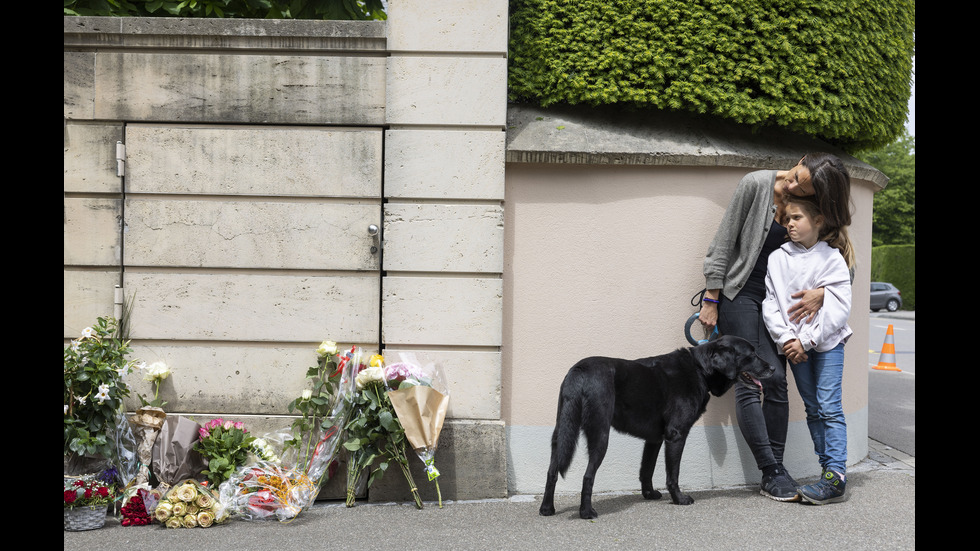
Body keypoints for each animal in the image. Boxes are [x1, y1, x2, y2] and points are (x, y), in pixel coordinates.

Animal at [536, 334, 772, 520]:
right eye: (751, 355)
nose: (772, 367)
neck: (700, 369)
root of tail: (579, 370)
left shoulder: (654, 439)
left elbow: (646, 469)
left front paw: (649, 494)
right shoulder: (676, 435)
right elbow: (673, 474)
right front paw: (679, 499)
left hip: (561, 433)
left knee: (551, 471)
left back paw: (547, 509)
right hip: (600, 435)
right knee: (587, 476)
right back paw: (586, 512)